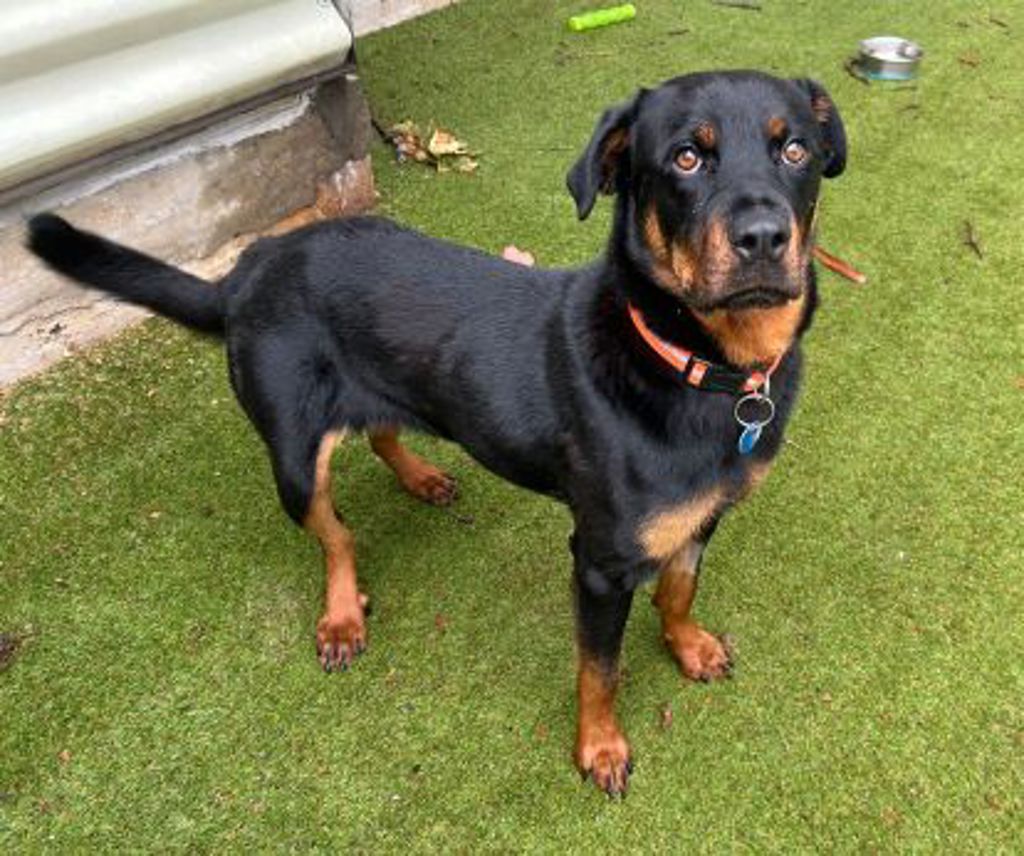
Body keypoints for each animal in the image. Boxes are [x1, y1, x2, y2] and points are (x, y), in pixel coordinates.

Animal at [28, 70, 845, 796]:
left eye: (794, 149)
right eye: (684, 158)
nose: (764, 236)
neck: (698, 364)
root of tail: (245, 271)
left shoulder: (703, 516)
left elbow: (678, 588)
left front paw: (689, 646)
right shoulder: (600, 560)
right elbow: (600, 669)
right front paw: (600, 748)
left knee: (382, 429)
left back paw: (422, 476)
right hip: (293, 454)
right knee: (335, 532)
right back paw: (341, 615)